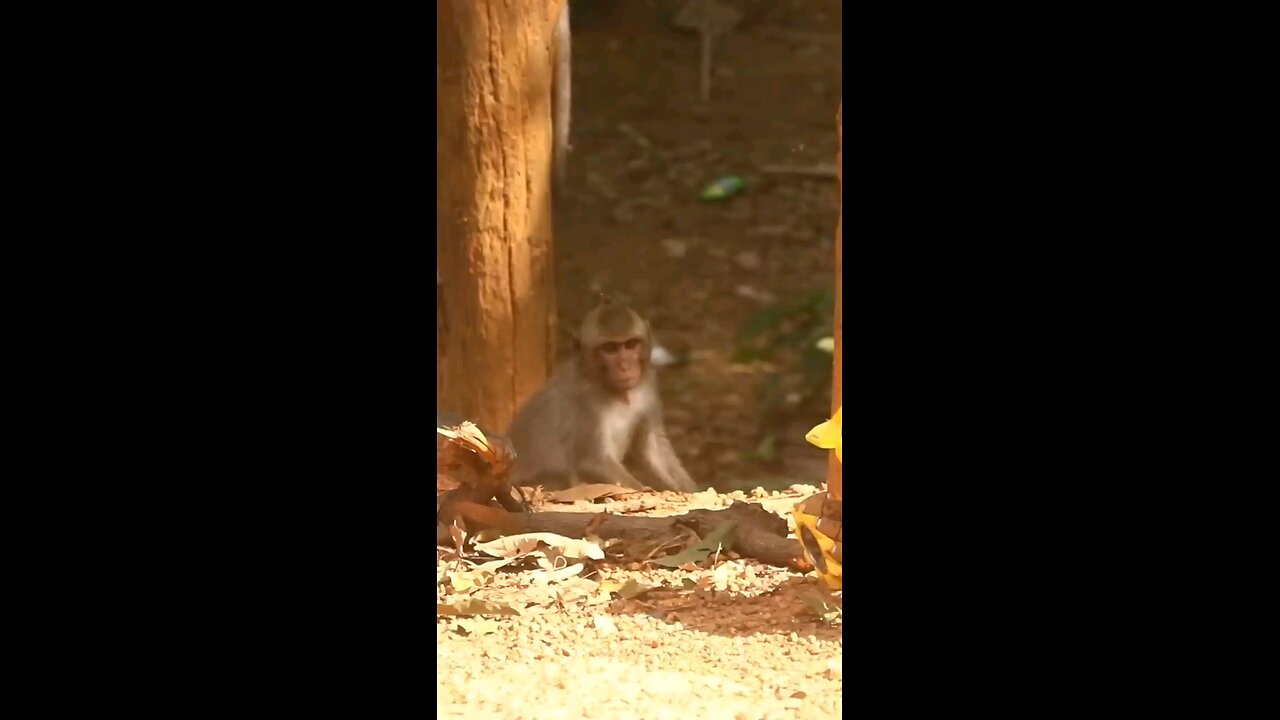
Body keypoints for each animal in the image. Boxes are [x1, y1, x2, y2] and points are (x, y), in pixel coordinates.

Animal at [505, 299, 697, 493]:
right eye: (610, 348)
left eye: (631, 344)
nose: (625, 366)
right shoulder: (584, 403)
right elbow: (592, 462)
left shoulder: (647, 384)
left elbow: (654, 449)